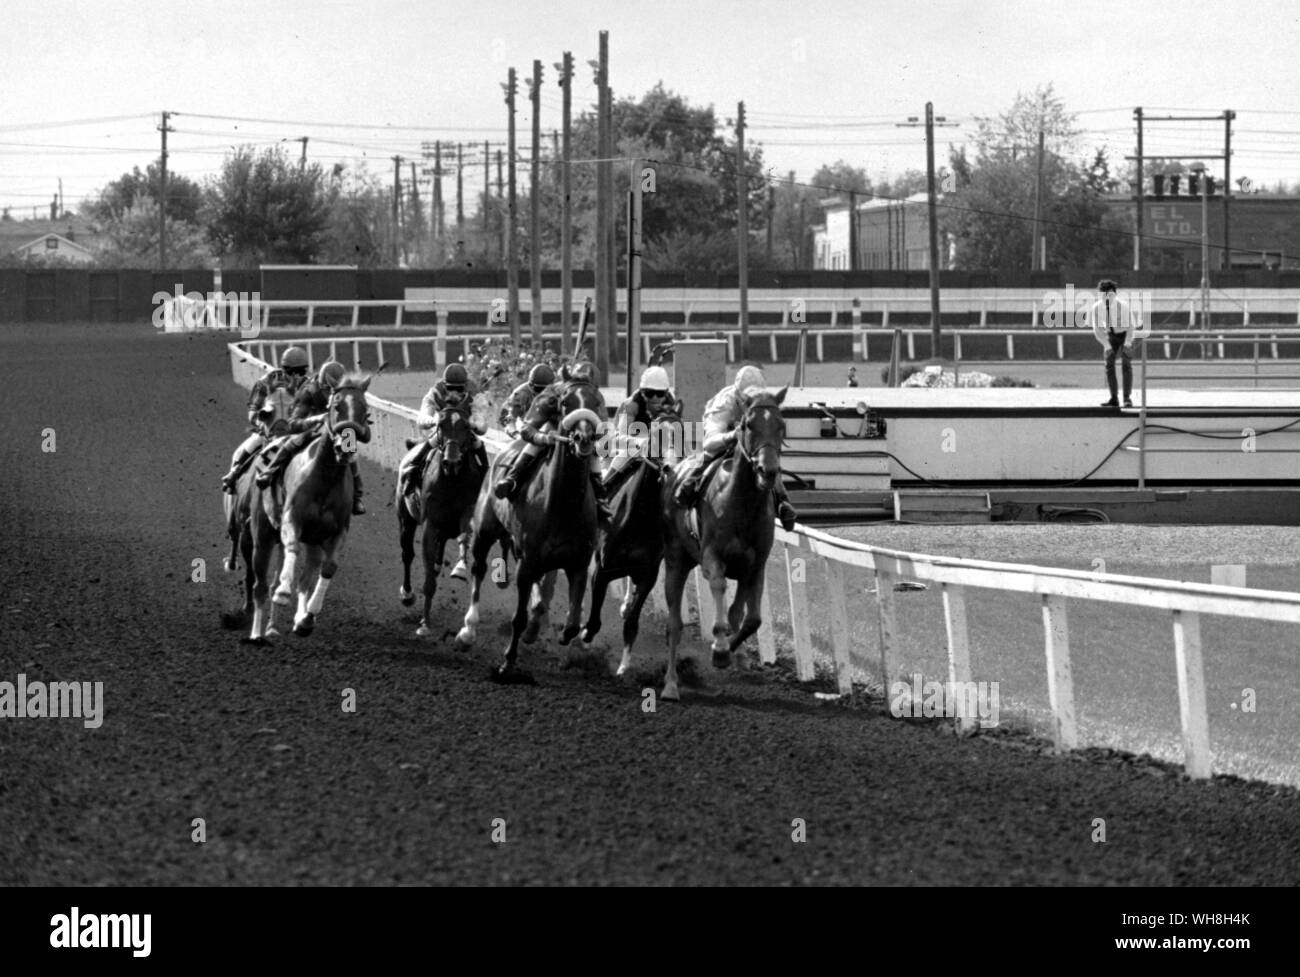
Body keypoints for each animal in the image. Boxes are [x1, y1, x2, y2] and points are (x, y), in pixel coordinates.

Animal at [244, 374, 371, 641]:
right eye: (336, 406)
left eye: (365, 410)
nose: (347, 446)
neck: (325, 479)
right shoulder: (291, 519)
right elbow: (292, 547)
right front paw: (282, 592)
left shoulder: (337, 531)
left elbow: (329, 567)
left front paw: (308, 617)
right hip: (262, 535)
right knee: (260, 586)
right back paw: (257, 634)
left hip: (313, 541)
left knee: (304, 579)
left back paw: (298, 618)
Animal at [395, 400, 488, 636]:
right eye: (441, 425)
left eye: (466, 426)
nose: (451, 461)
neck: (451, 480)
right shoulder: (431, 524)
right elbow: (428, 578)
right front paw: (424, 624)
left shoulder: (467, 510)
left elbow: (465, 536)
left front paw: (461, 568)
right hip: (405, 518)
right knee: (407, 554)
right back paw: (407, 594)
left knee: (439, 556)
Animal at [460, 381, 605, 680]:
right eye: (566, 403)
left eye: (596, 403)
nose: (583, 438)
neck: (564, 503)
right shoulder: (527, 564)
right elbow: (518, 618)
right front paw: (507, 663)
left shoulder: (577, 564)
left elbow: (572, 623)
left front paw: (562, 636)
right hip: (484, 530)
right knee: (478, 569)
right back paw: (468, 630)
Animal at [577, 400, 681, 675]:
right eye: (656, 434)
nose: (671, 468)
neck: (640, 518)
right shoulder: (603, 570)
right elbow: (593, 620)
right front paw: (584, 635)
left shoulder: (648, 574)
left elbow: (632, 622)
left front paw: (623, 668)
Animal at [660, 384, 780, 696]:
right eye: (748, 425)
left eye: (781, 424)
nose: (767, 470)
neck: (741, 503)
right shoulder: (712, 557)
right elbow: (718, 586)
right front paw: (720, 646)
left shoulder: (755, 565)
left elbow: (750, 619)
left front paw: (730, 652)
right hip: (676, 559)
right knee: (674, 624)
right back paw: (671, 683)